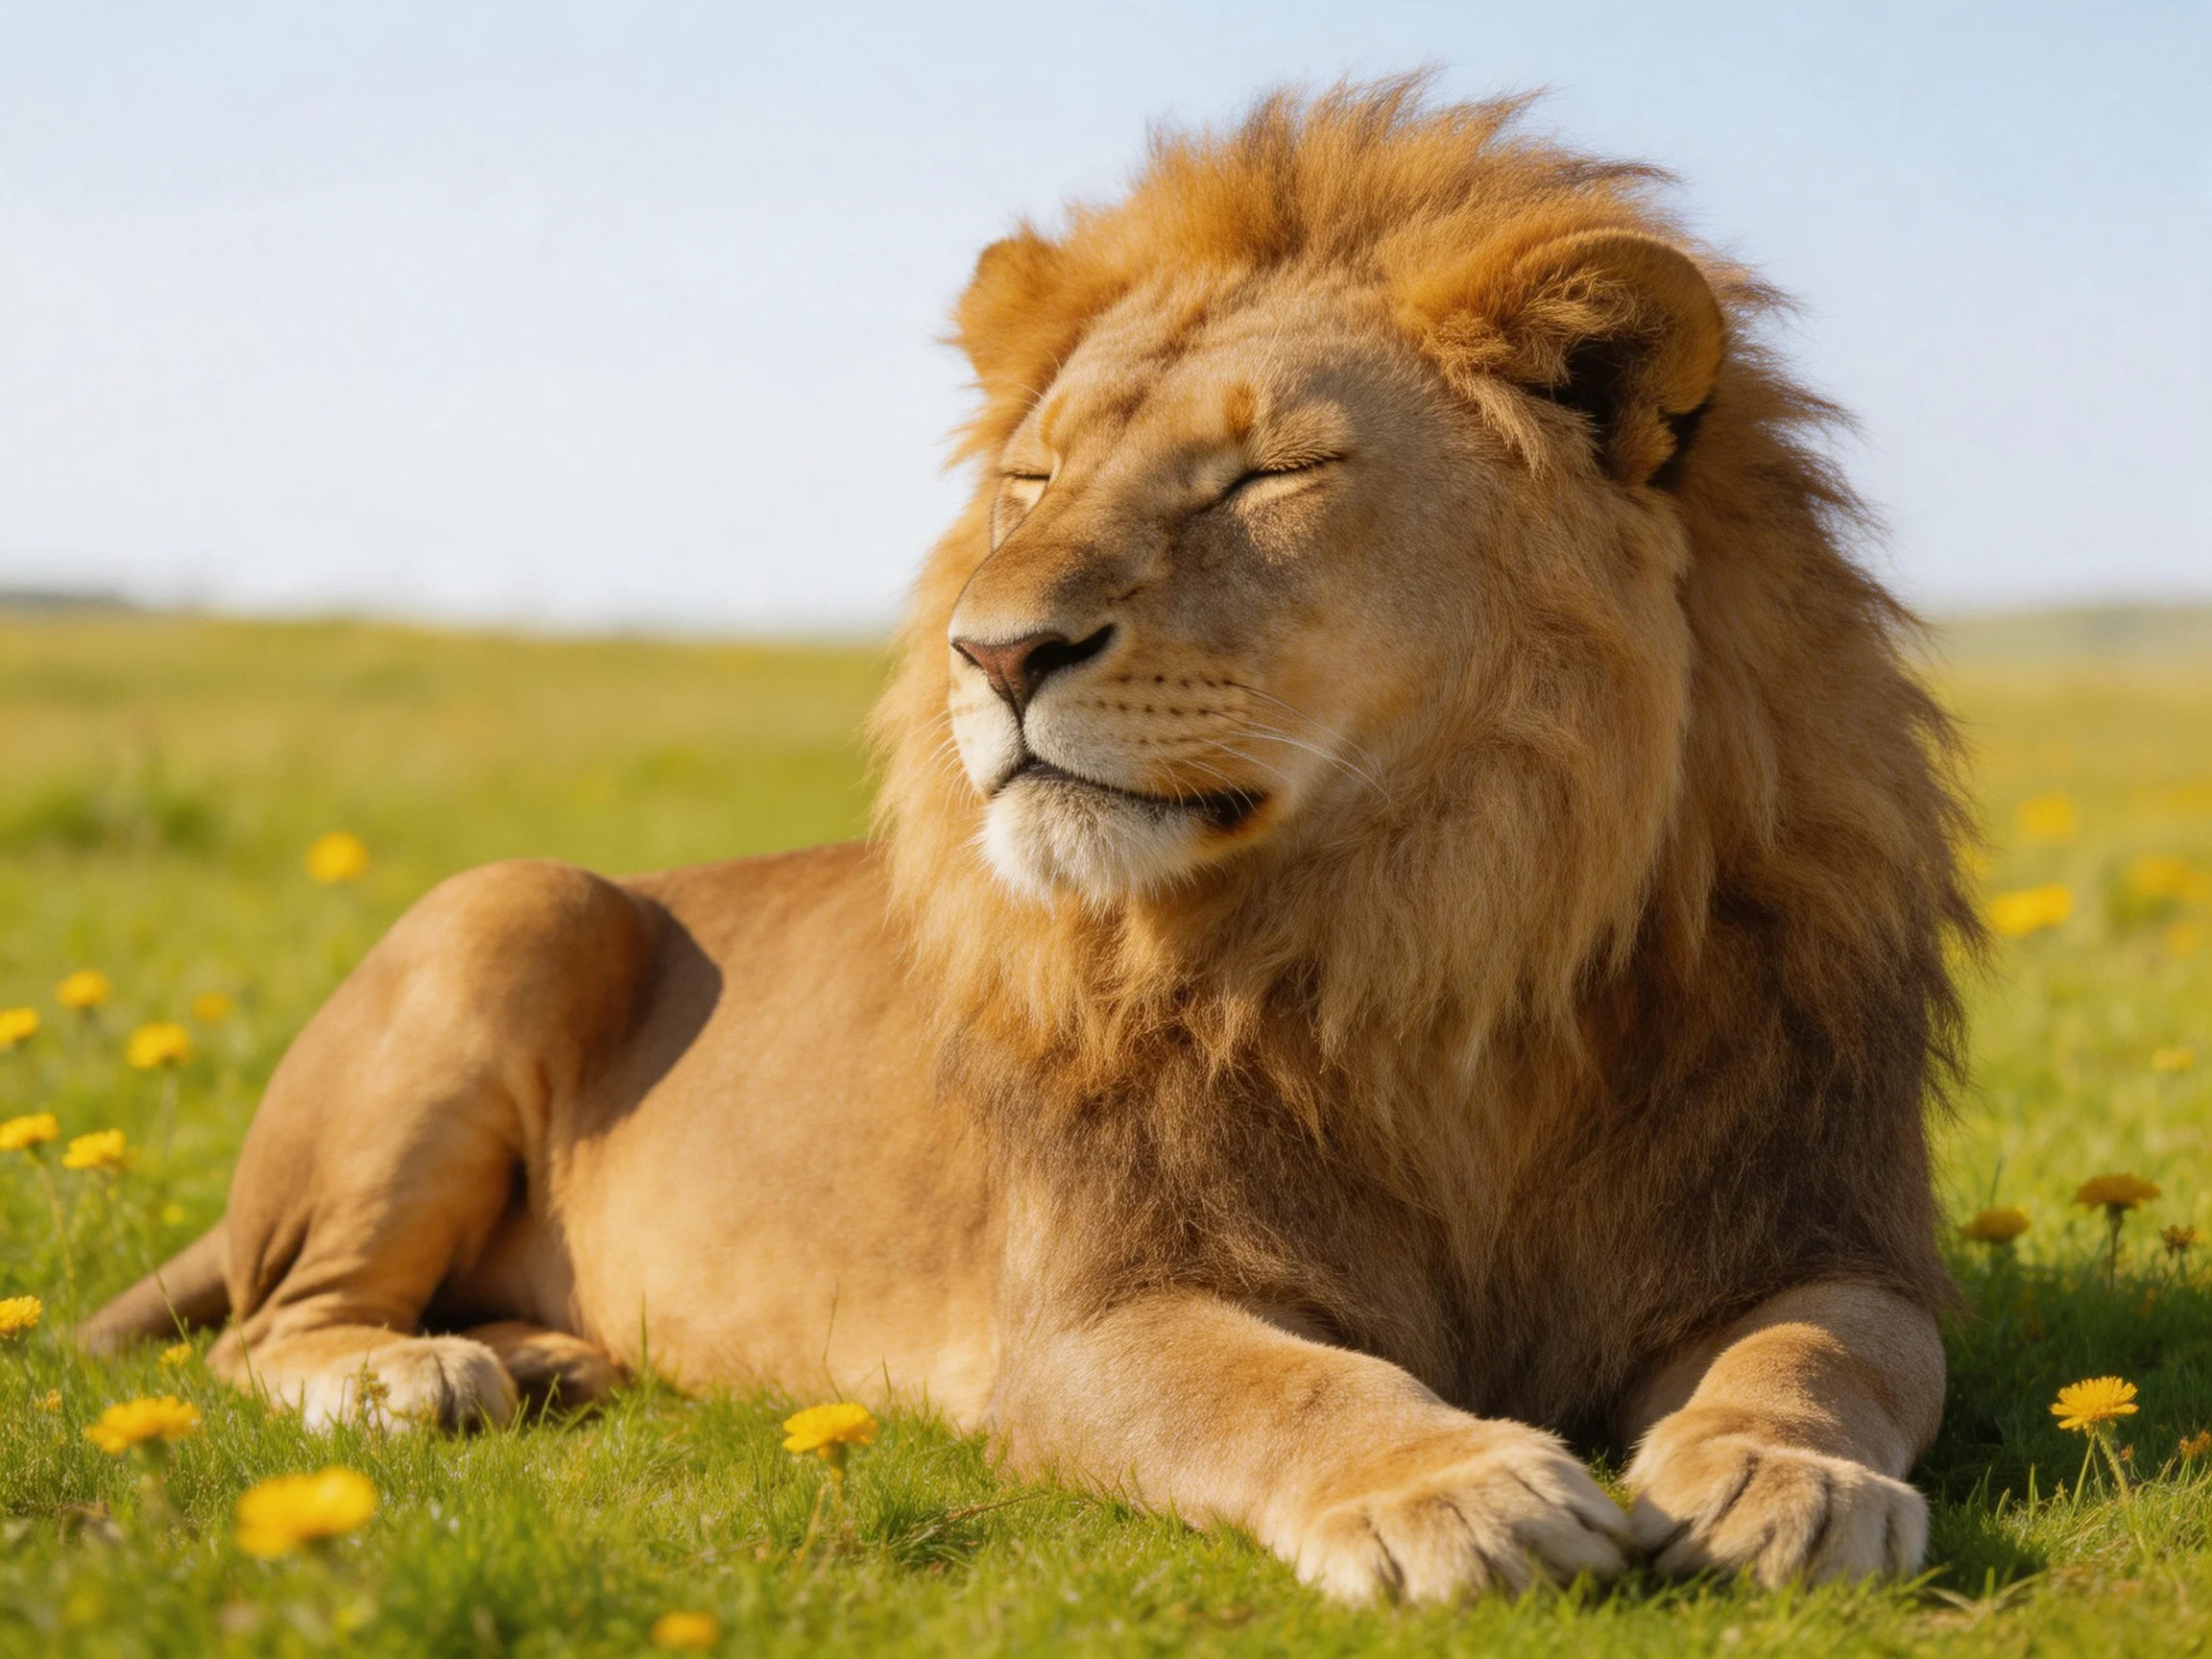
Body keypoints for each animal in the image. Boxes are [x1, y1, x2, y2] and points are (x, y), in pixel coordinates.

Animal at [82, 82, 1976, 1601]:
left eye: (1264, 477)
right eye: (1033, 481)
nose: (989, 654)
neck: (1431, 931)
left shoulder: (1821, 1227)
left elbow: (1826, 1351)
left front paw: (1779, 1479)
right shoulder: (1087, 1325)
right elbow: (1284, 1386)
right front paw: (1453, 1488)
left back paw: (543, 1349)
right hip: (512, 901)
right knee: (264, 1325)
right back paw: (416, 1376)